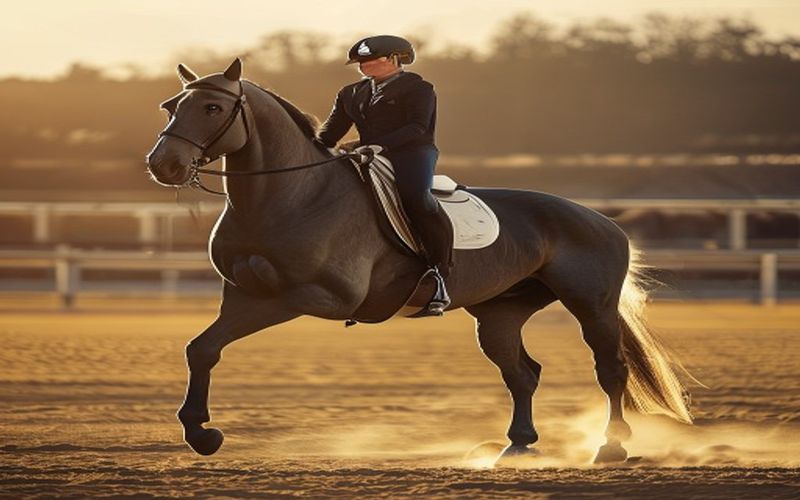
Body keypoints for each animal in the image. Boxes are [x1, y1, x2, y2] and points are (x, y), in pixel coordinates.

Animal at [145, 58, 693, 464]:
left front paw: (202, 432)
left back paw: (612, 445)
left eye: (212, 107)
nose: (163, 165)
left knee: (611, 370)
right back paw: (517, 446)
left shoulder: (311, 297)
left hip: (590, 304)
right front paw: (202, 435)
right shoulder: (241, 294)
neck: (290, 195)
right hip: (500, 313)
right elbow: (202, 349)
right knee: (522, 373)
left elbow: (213, 343)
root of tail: (603, 220)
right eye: (170, 106)